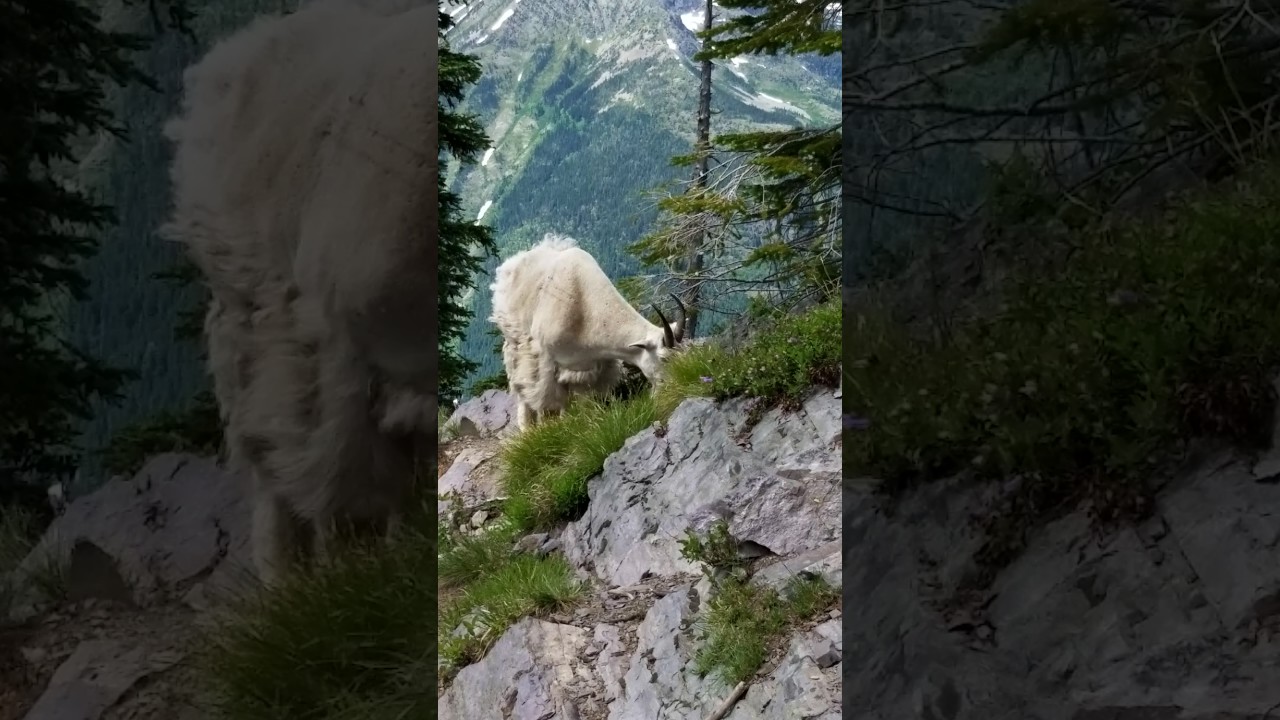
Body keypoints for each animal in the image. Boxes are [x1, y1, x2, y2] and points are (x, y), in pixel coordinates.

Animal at [489, 233, 688, 430]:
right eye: (663, 357)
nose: (673, 387)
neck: (585, 308)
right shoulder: (546, 361)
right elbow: (546, 400)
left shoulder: (587, 367)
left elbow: (583, 403)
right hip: (514, 340)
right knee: (521, 386)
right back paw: (527, 428)